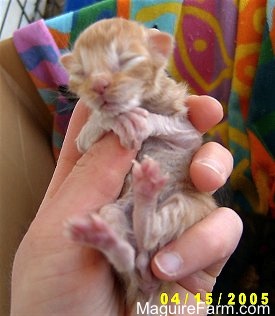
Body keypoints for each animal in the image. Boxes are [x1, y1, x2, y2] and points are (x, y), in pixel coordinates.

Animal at [61, 17, 218, 314]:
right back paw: (107, 238)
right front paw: (113, 119)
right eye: (82, 72)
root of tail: (148, 284)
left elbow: (166, 124)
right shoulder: (84, 142)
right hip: (113, 211)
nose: (98, 84)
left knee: (151, 236)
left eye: (127, 60)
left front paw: (143, 122)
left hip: (189, 205)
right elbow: (87, 137)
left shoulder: (188, 131)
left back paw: (145, 195)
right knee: (129, 255)